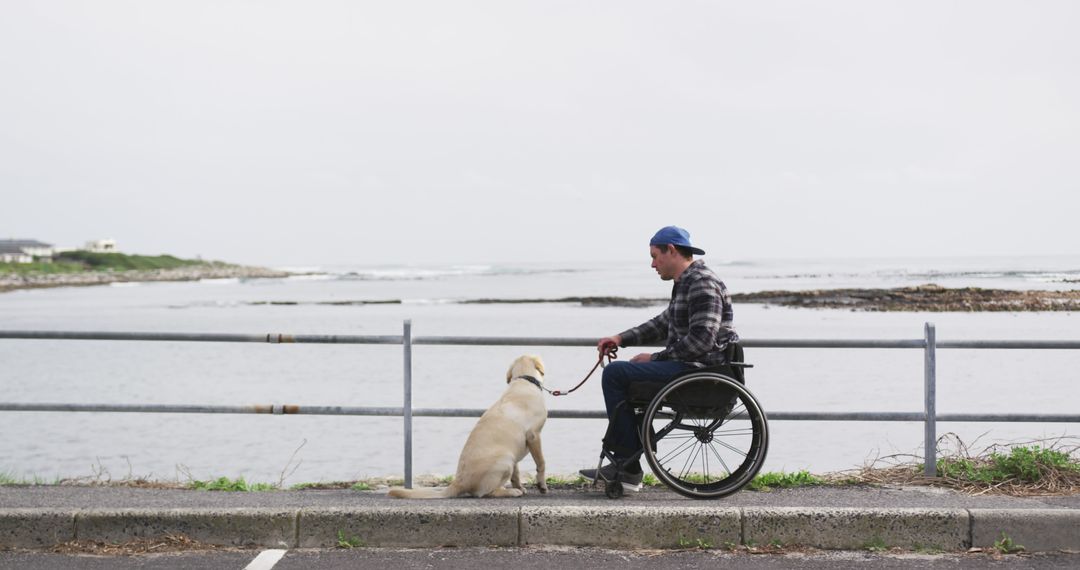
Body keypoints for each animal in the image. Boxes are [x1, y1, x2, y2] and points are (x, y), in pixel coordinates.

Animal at [388, 356, 548, 498]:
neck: (524, 380)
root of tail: (459, 482)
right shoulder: (534, 435)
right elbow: (541, 463)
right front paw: (541, 485)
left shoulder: (517, 448)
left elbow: (516, 473)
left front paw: (520, 486)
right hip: (505, 460)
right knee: (486, 493)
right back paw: (511, 492)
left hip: (510, 456)